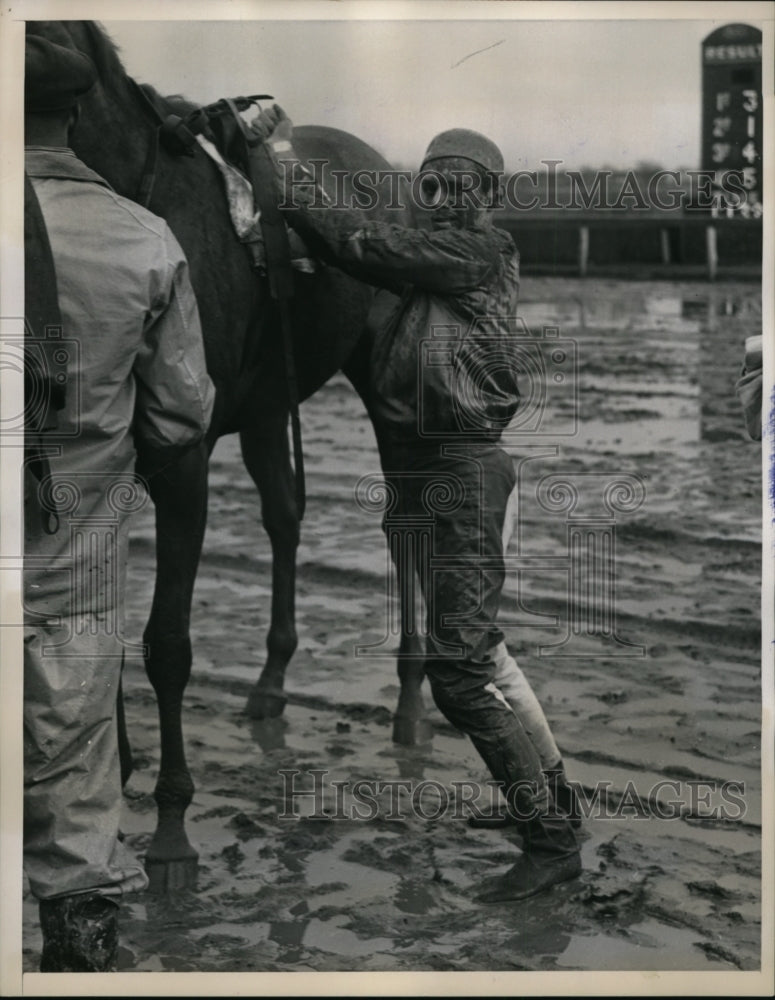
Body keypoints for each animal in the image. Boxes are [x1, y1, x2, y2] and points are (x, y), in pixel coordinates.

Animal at [28, 19, 430, 888]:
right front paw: (117, 768)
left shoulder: (180, 457)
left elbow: (167, 644)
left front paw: (171, 825)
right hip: (267, 406)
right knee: (283, 518)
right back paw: (271, 683)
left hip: (390, 393)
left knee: (407, 529)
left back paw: (411, 700)